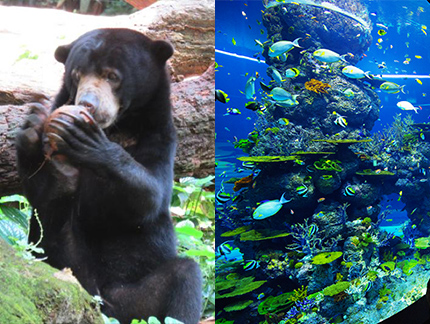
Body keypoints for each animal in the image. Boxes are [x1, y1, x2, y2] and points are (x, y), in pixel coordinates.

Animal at [16, 28, 203, 324]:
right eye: (77, 74)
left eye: (112, 76)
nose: (87, 104)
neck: (117, 127)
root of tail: (106, 305)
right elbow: (42, 195)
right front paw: (34, 127)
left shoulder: (159, 135)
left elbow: (151, 194)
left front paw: (85, 138)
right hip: (73, 272)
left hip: (141, 297)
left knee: (185, 277)